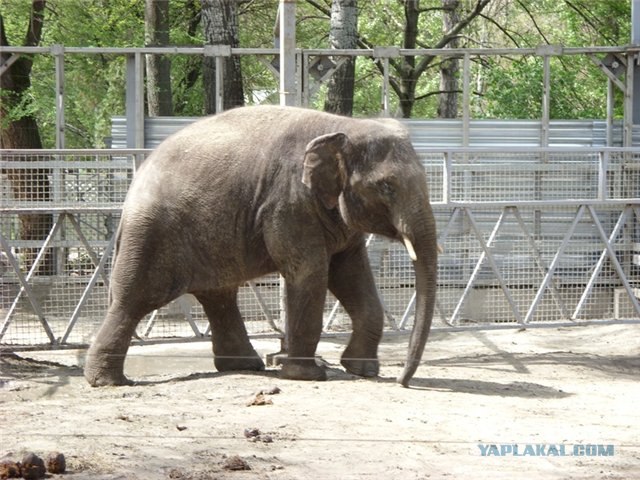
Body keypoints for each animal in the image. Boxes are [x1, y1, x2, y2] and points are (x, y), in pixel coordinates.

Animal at [82, 104, 438, 386]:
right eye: (387, 187)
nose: (403, 381)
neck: (345, 125)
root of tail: (132, 188)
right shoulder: (288, 202)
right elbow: (309, 272)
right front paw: (307, 376)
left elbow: (351, 274)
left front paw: (362, 370)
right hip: (150, 233)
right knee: (136, 298)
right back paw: (108, 382)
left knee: (219, 296)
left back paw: (244, 366)